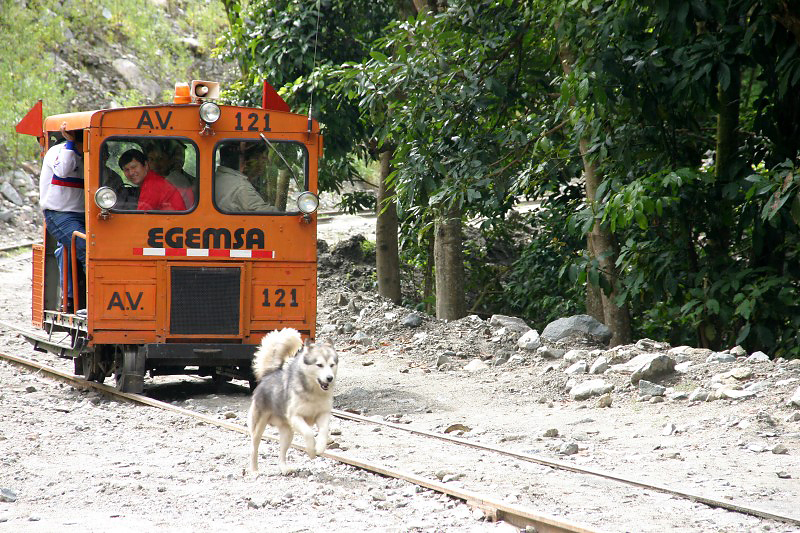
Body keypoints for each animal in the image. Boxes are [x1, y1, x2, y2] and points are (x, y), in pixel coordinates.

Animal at [247, 327, 338, 475]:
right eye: (319, 365)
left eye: (332, 365)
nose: (330, 378)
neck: (313, 392)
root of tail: (269, 374)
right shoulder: (295, 416)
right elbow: (308, 433)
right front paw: (311, 451)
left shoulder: (323, 414)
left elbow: (324, 431)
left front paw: (319, 447)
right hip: (259, 425)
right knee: (254, 448)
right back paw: (254, 470)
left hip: (287, 432)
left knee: (282, 452)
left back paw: (284, 468)